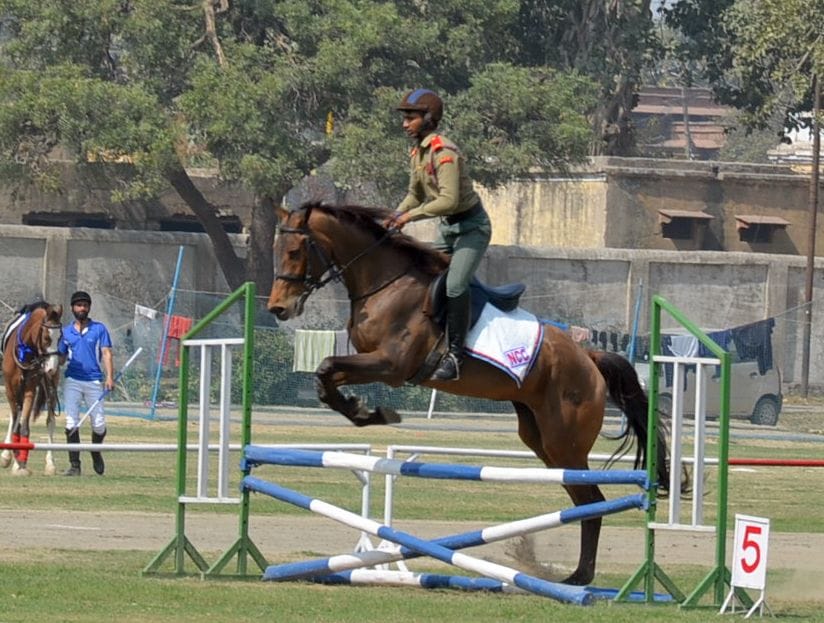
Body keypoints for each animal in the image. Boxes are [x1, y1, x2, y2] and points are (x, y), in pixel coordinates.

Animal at [1, 302, 63, 476]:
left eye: (61, 337)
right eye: (47, 338)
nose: (52, 367)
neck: (25, 350)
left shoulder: (30, 389)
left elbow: (24, 427)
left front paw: (21, 462)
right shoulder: (10, 388)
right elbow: (16, 421)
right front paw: (13, 457)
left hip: (49, 387)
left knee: (50, 420)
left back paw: (50, 463)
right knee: (15, 416)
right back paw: (7, 455)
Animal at [267, 201, 669, 586]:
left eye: (295, 251)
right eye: (278, 250)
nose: (278, 308)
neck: (385, 284)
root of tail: (588, 356)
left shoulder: (392, 365)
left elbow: (326, 366)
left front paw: (371, 412)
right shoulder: (371, 360)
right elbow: (326, 375)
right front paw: (364, 411)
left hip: (563, 441)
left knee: (593, 502)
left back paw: (580, 578)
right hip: (541, 438)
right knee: (583, 500)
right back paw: (575, 575)